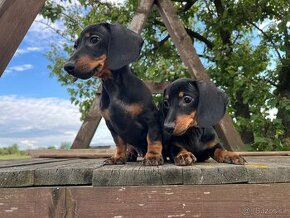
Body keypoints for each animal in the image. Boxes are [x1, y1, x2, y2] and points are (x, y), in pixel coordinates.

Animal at [64, 23, 163, 165]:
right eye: (75, 46)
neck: (113, 87)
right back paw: (129, 155)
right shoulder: (112, 126)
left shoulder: (151, 119)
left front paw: (153, 156)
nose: (67, 67)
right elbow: (119, 143)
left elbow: (153, 139)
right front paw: (118, 157)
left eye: (94, 39)